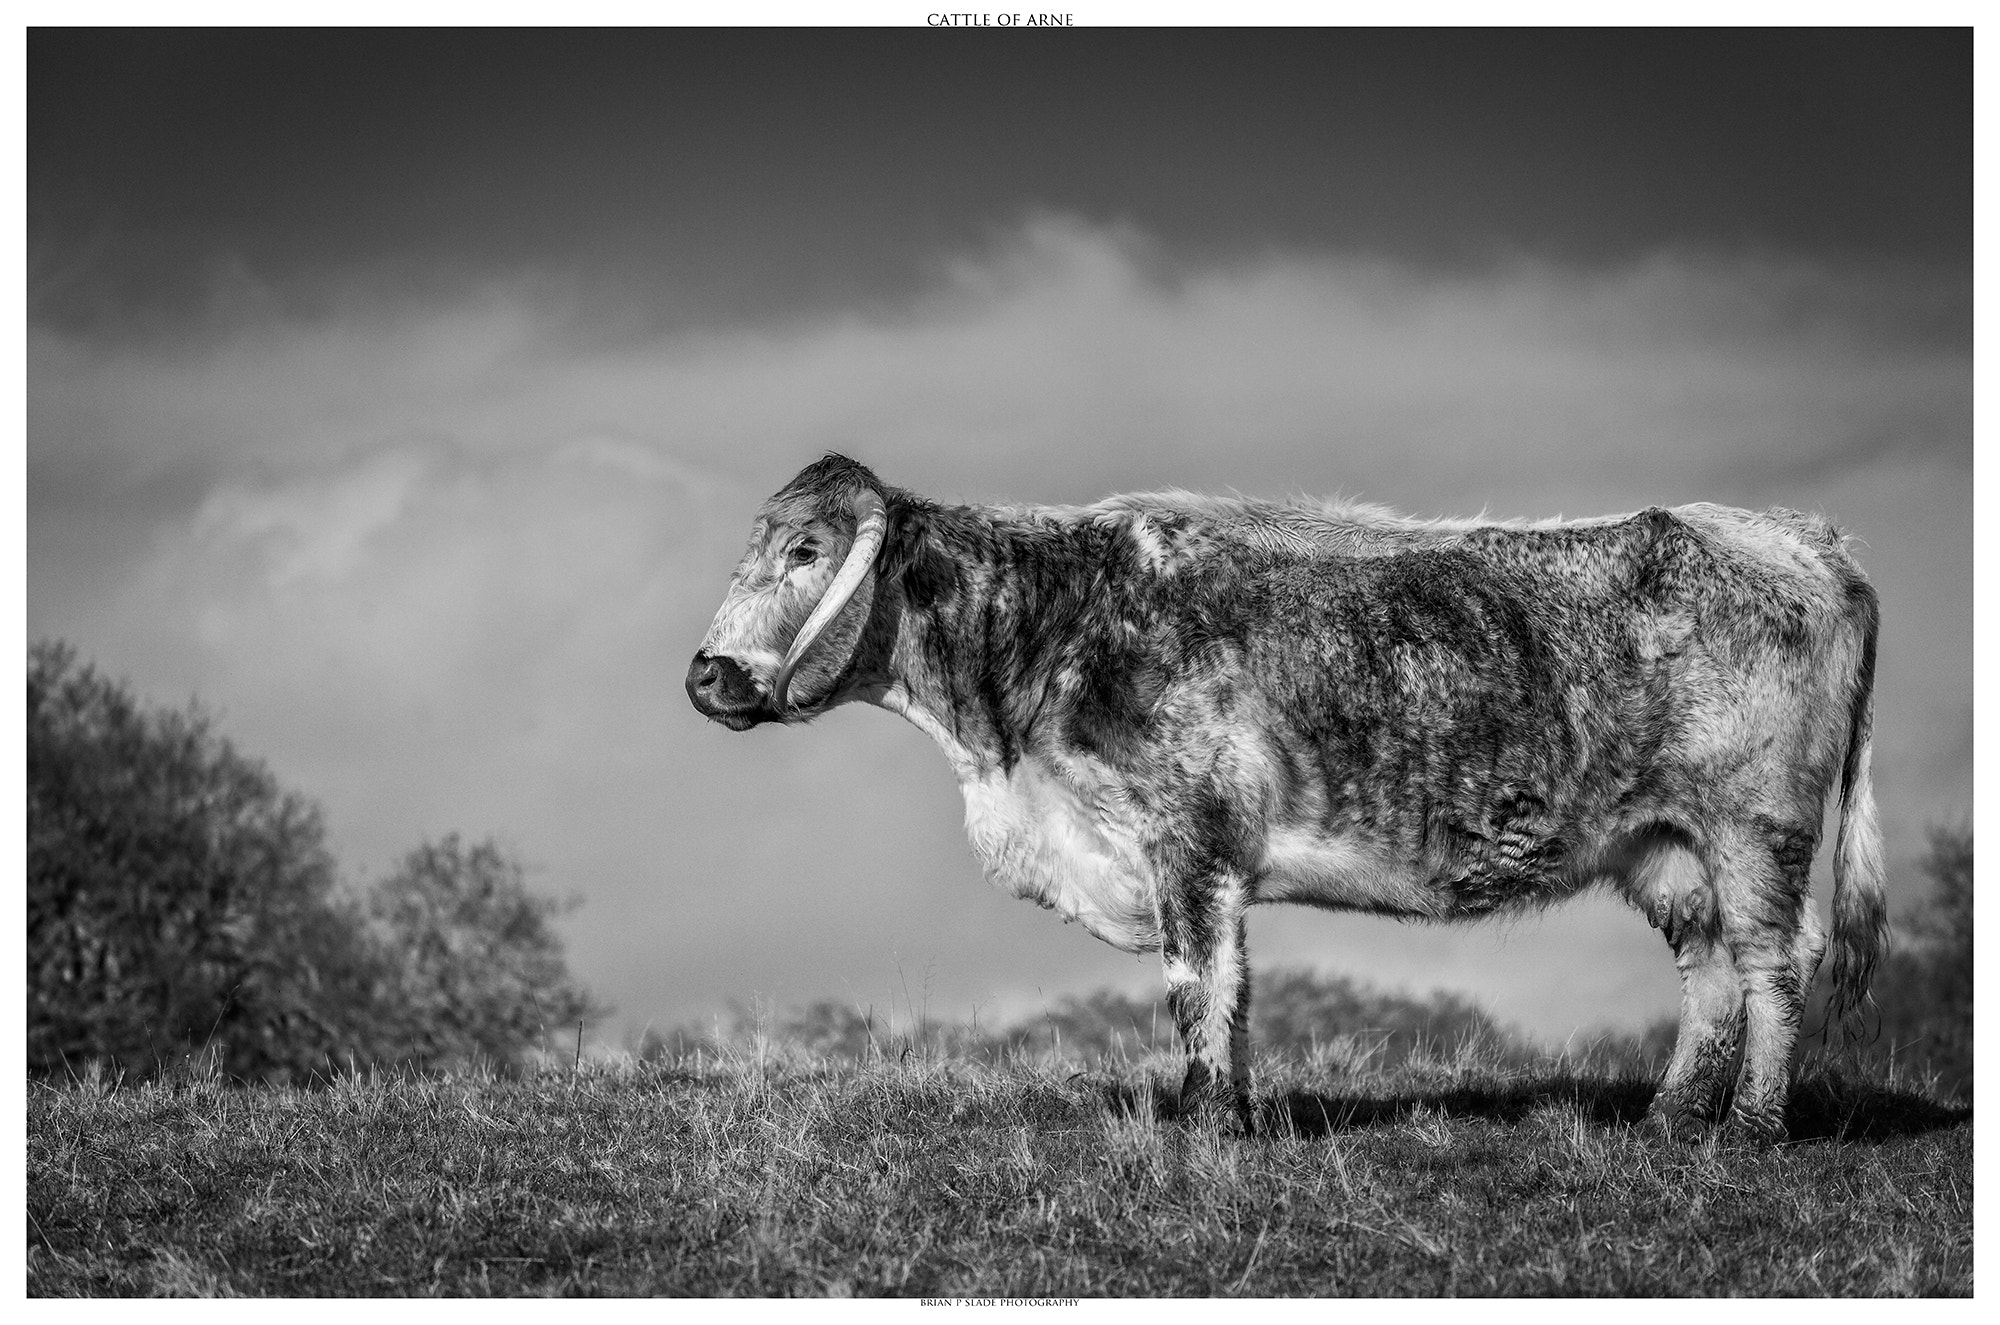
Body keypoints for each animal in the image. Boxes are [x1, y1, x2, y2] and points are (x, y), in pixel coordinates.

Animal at [686, 453, 1886, 1141]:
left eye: (806, 549)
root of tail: (1801, 535)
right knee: (1711, 969)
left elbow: (1199, 986)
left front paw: (1208, 1124)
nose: (706, 672)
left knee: (1776, 962)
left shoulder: (1190, 840)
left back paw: (1751, 1128)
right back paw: (1669, 1117)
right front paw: (1235, 1115)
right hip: (1662, 844)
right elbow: (1232, 990)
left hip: (1757, 827)